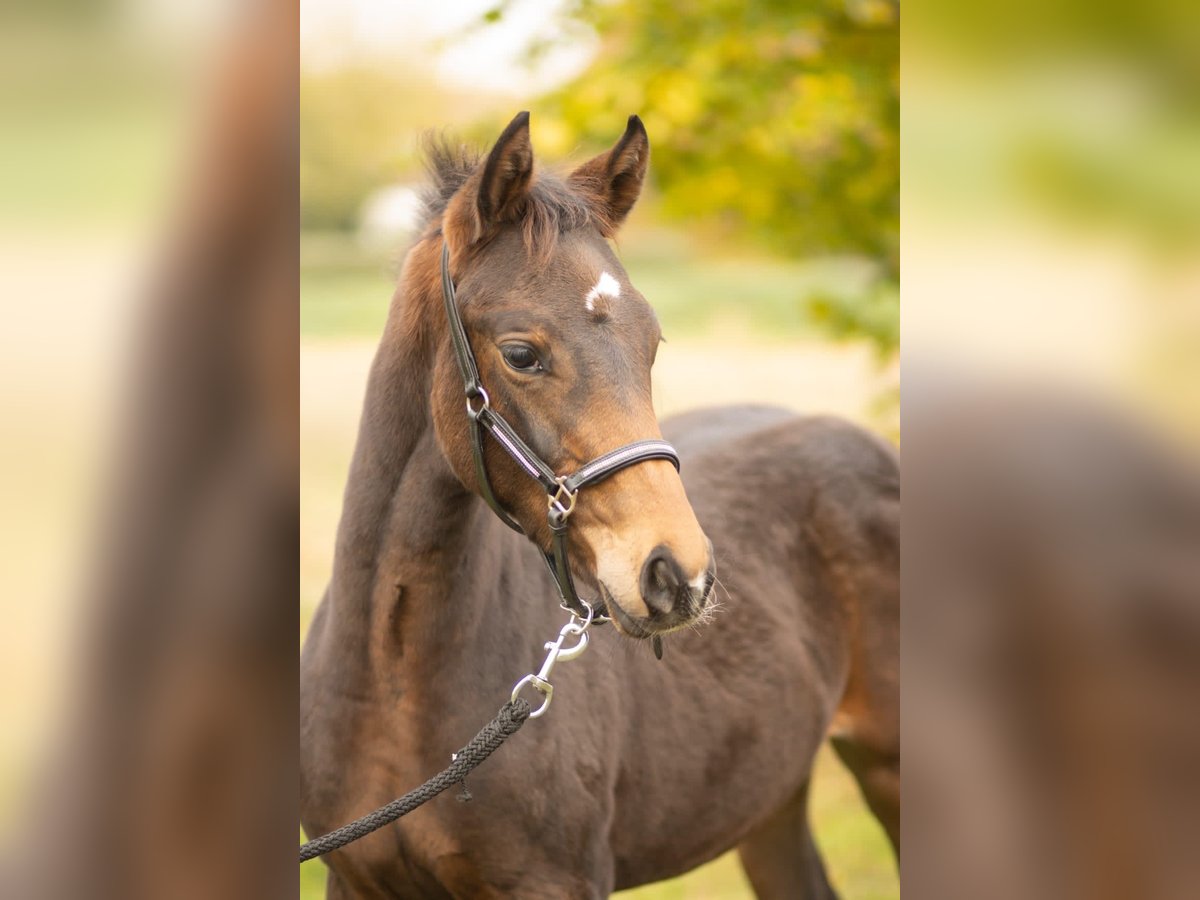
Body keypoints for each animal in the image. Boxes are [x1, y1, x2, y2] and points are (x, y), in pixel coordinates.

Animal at [300, 114, 902, 900]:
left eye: (652, 343)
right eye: (521, 353)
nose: (679, 576)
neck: (391, 685)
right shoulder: (356, 881)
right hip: (771, 794)